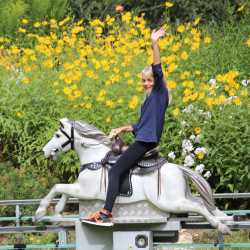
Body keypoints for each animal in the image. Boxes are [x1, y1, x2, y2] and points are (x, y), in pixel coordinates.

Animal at [34, 118, 231, 233]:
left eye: (57, 135)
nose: (44, 151)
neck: (95, 158)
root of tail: (177, 168)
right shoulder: (80, 188)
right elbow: (63, 191)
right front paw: (57, 214)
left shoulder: (86, 191)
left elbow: (58, 187)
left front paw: (40, 212)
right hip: (181, 197)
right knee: (200, 203)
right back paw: (224, 218)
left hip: (169, 202)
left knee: (199, 207)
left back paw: (221, 226)